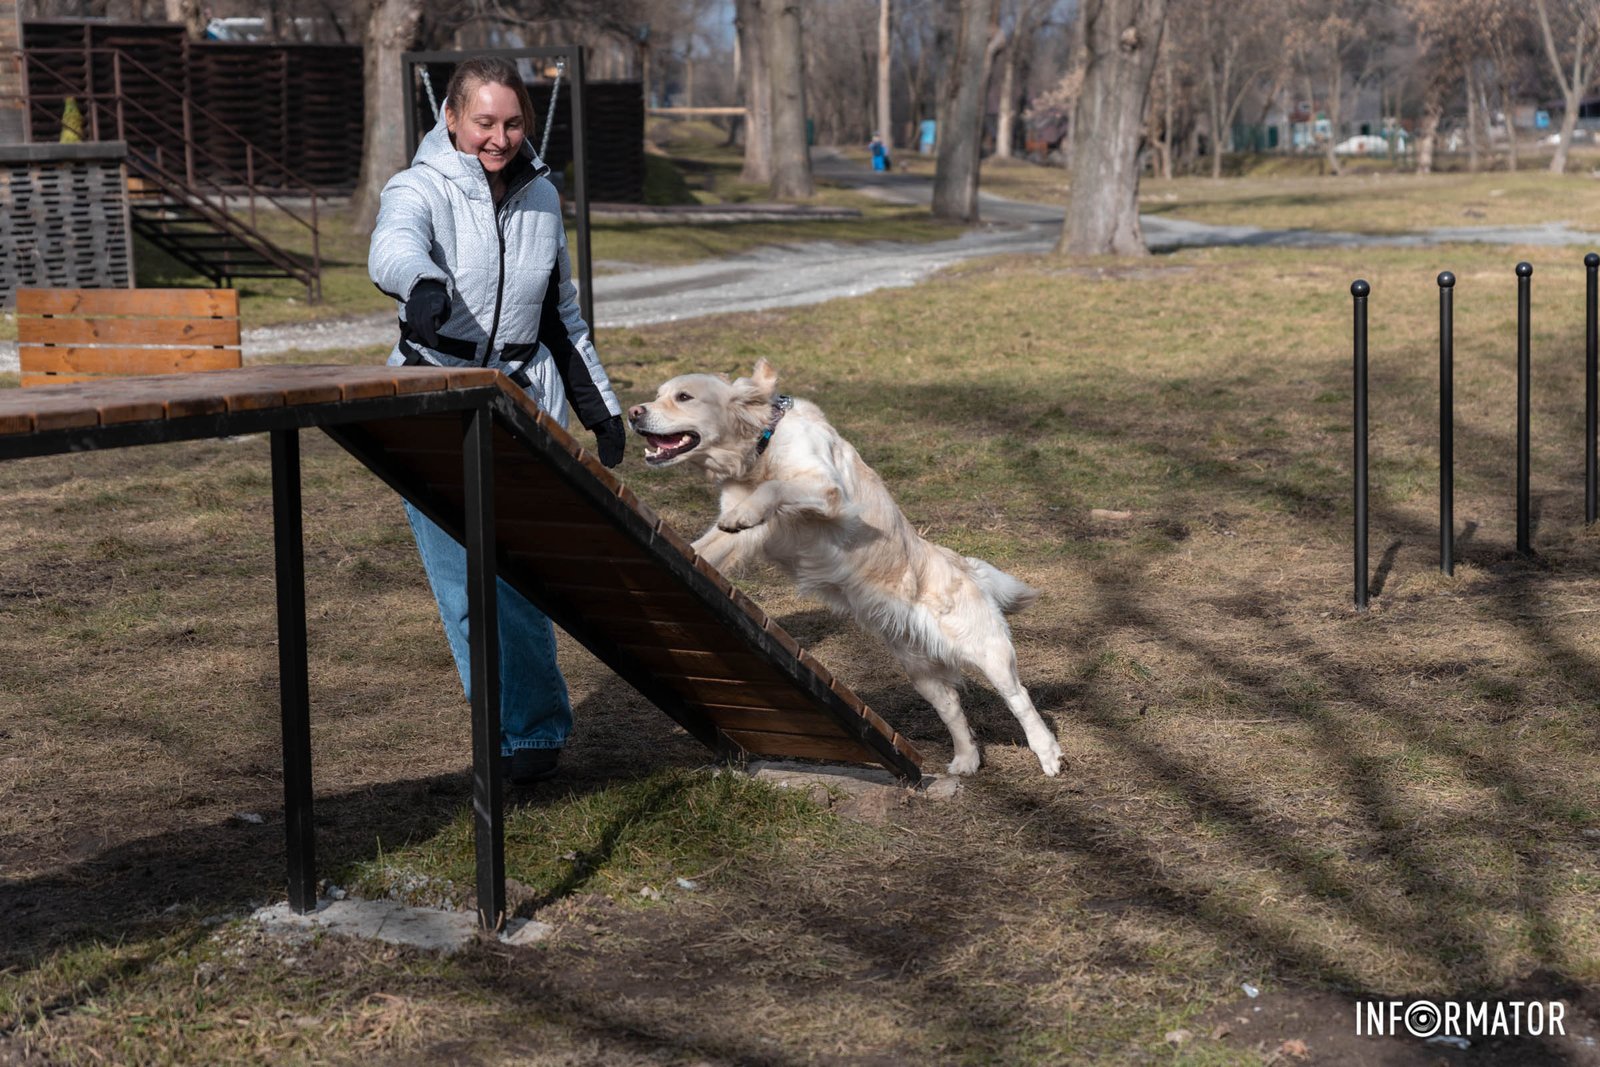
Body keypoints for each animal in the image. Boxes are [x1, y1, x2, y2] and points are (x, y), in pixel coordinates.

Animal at [627, 361, 1062, 777]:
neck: (761, 445)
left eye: (684, 397)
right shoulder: (739, 535)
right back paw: (966, 759)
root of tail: (965, 566)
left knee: (1020, 700)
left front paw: (745, 512)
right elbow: (707, 544)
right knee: (953, 708)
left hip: (986, 650)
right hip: (919, 670)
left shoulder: (826, 491)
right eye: (659, 394)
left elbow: (775, 489)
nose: (633, 413)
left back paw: (1048, 754)